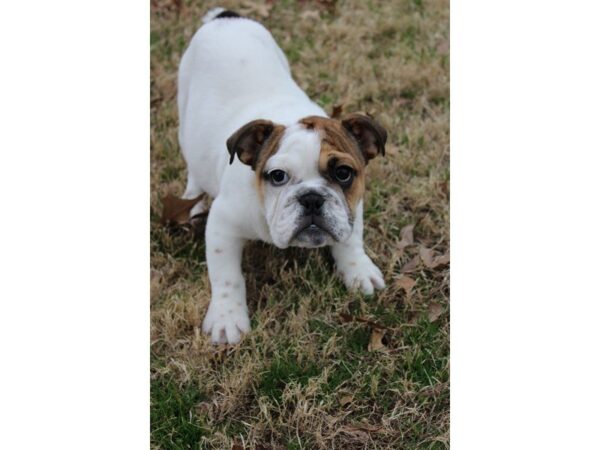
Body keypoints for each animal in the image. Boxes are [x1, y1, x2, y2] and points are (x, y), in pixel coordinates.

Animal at [178, 7, 386, 344]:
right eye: (277, 176)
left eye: (343, 173)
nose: (312, 198)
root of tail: (225, 17)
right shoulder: (223, 225)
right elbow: (226, 276)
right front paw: (227, 318)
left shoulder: (352, 206)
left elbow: (350, 238)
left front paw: (357, 270)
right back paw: (192, 202)